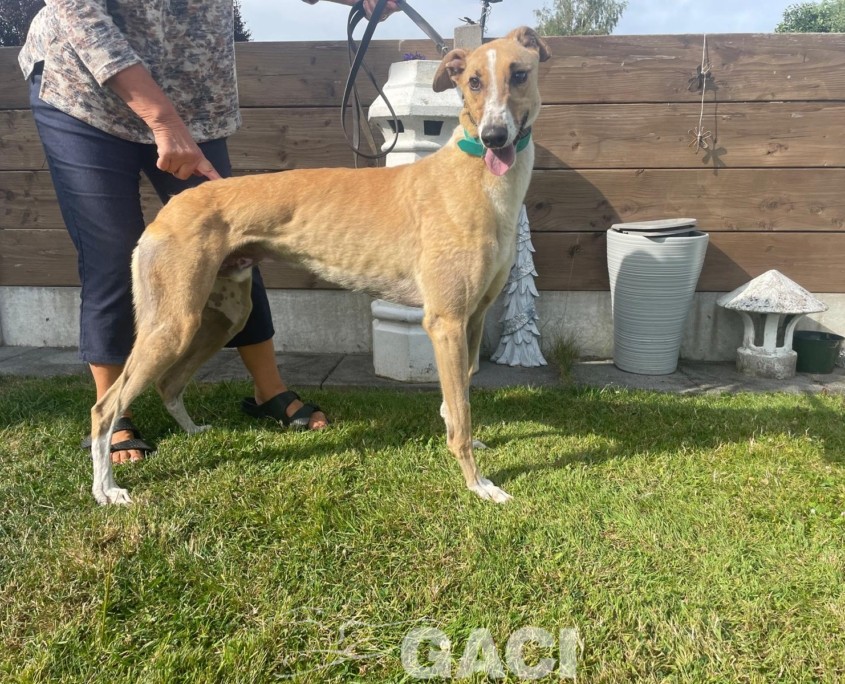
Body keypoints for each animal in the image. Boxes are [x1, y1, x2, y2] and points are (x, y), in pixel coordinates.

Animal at [89, 26, 551, 505]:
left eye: (519, 73)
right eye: (473, 81)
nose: (494, 136)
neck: (474, 177)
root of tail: (173, 206)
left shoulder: (472, 318)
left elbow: (459, 398)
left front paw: (473, 447)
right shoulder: (446, 321)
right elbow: (460, 413)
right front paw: (479, 484)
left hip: (224, 315)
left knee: (169, 384)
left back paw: (194, 431)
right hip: (173, 323)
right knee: (105, 407)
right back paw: (108, 488)